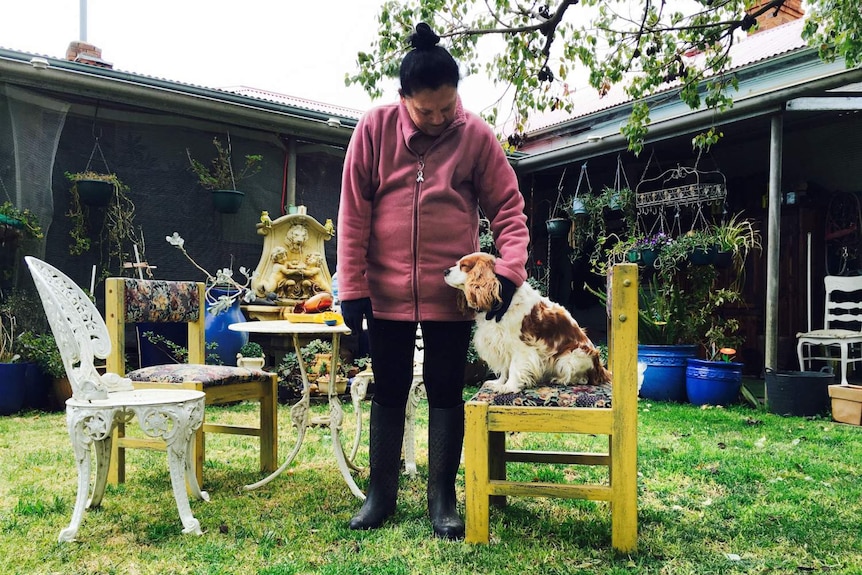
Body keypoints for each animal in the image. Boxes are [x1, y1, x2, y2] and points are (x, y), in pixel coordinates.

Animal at [448, 253, 612, 394]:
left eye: (464, 266)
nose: (445, 271)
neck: (500, 300)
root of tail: (601, 369)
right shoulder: (501, 343)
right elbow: (505, 368)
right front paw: (499, 383)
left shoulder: (520, 346)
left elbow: (514, 368)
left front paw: (509, 387)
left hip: (570, 357)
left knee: (583, 378)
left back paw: (560, 379)